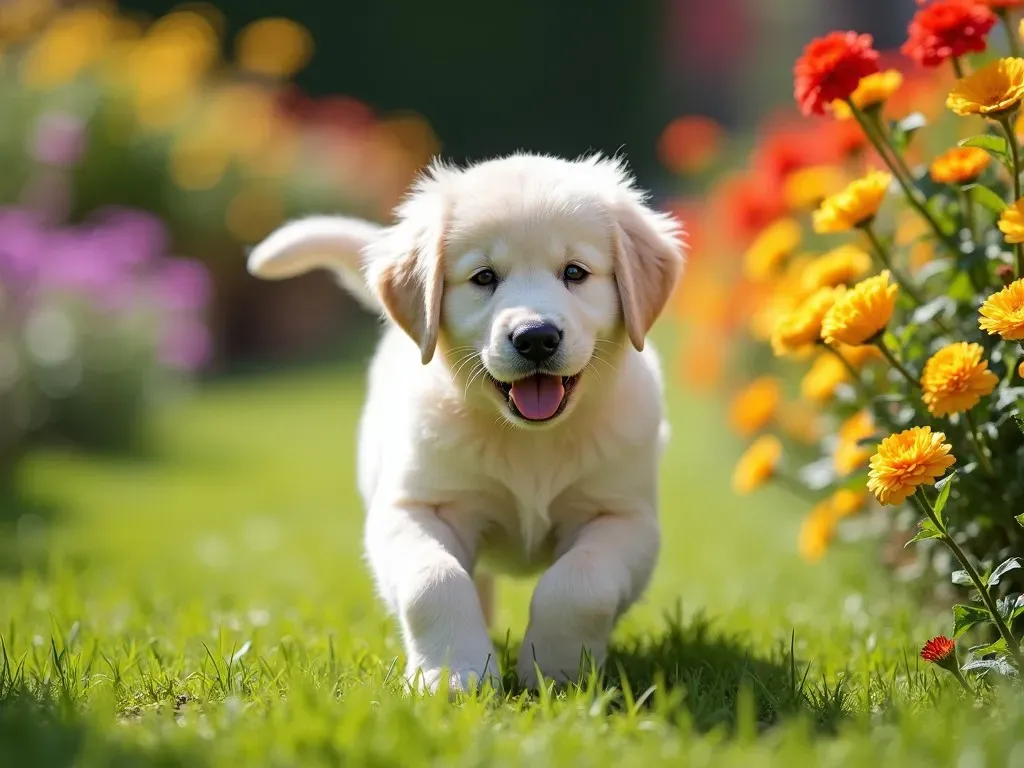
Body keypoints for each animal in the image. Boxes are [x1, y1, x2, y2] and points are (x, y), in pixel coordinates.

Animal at [243, 153, 684, 696]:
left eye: (575, 272)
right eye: (483, 277)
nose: (536, 337)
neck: (530, 442)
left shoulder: (623, 516)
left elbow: (579, 584)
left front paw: (555, 670)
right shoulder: (416, 507)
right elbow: (434, 582)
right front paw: (455, 674)